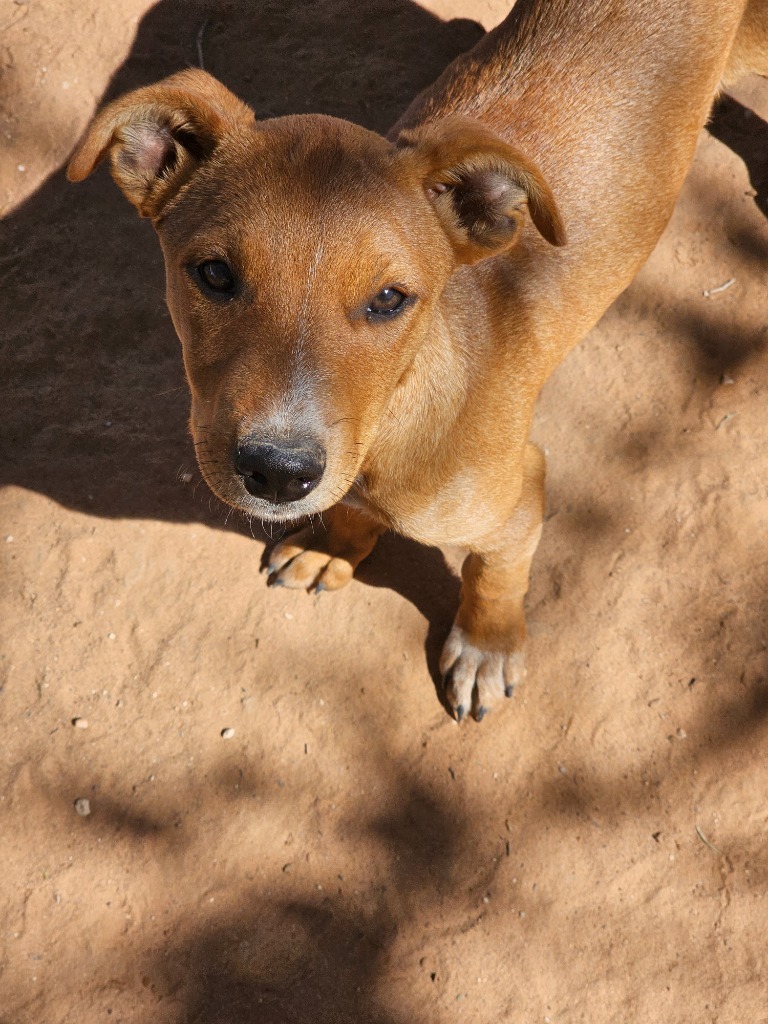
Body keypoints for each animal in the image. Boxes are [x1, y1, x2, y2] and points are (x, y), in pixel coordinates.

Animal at [69, 0, 765, 720]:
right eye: (213, 274)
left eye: (388, 299)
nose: (279, 473)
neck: (393, 417)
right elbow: (350, 512)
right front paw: (333, 548)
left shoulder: (521, 494)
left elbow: (495, 574)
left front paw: (486, 648)